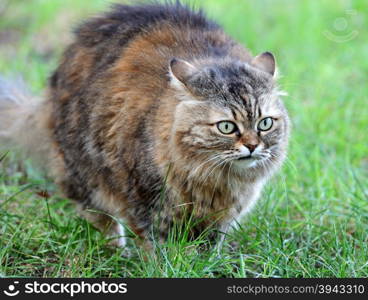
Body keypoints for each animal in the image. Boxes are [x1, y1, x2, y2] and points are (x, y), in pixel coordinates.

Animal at [0, 1, 288, 251]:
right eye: (226, 127)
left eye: (264, 123)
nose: (252, 146)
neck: (216, 182)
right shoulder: (147, 203)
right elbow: (159, 248)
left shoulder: (222, 217)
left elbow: (210, 246)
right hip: (85, 174)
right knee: (100, 218)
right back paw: (117, 251)